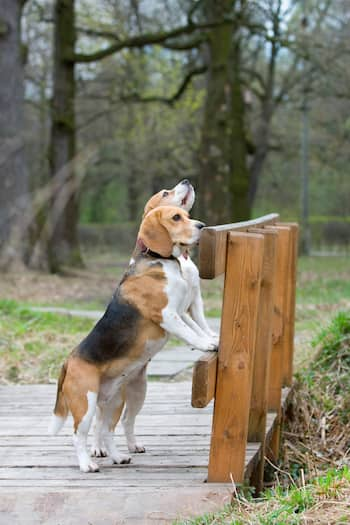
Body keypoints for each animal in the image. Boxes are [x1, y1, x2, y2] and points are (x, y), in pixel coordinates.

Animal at [47, 205, 215, 470]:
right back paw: (87, 464)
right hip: (85, 404)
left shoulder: (181, 311)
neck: (160, 261)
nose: (202, 226)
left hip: (114, 401)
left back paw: (118, 456)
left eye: (187, 215)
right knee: (79, 435)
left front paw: (211, 337)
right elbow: (190, 333)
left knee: (107, 430)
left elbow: (196, 327)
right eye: (176, 217)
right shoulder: (168, 314)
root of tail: (69, 360)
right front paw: (207, 343)